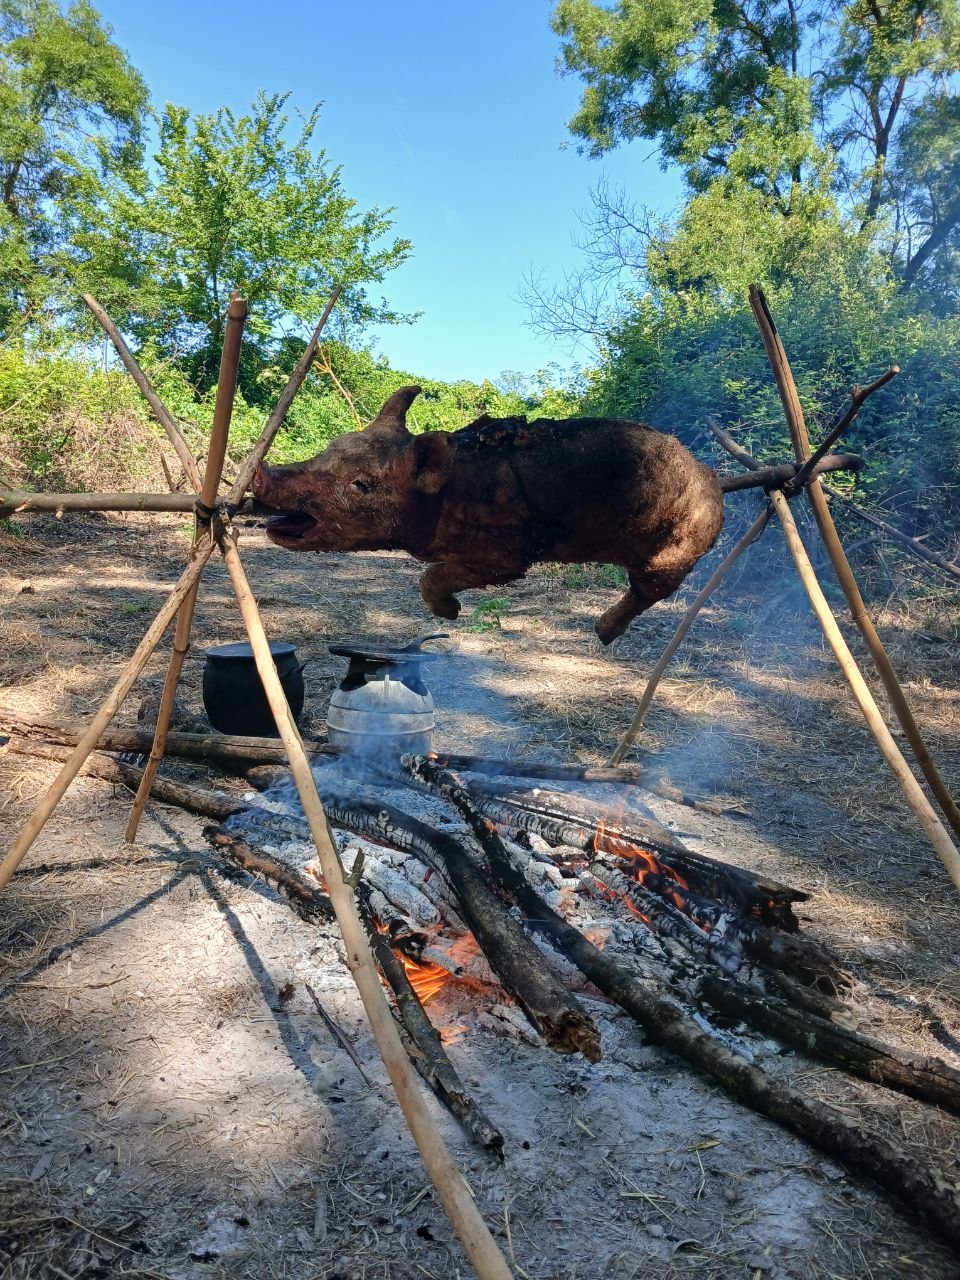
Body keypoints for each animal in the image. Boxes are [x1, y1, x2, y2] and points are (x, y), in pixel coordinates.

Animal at [252, 386, 724, 644]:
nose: (261, 473)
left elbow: (434, 575)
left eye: (362, 484)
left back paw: (602, 634)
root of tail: (713, 479)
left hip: (680, 547)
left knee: (649, 588)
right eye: (328, 449)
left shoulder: (506, 554)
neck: (441, 496)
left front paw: (450, 616)